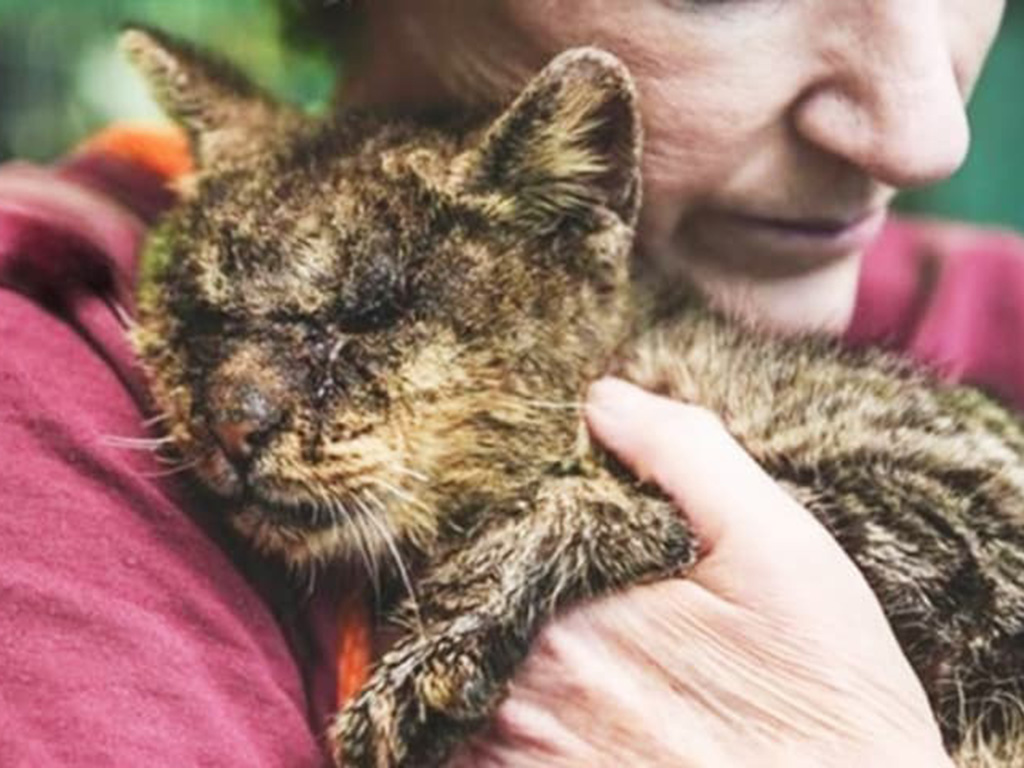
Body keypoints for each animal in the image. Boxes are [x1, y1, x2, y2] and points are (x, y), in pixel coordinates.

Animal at [123, 25, 1024, 768]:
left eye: (369, 315)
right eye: (201, 313)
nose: (234, 423)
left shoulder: (975, 517)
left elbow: (601, 493)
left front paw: (434, 651)